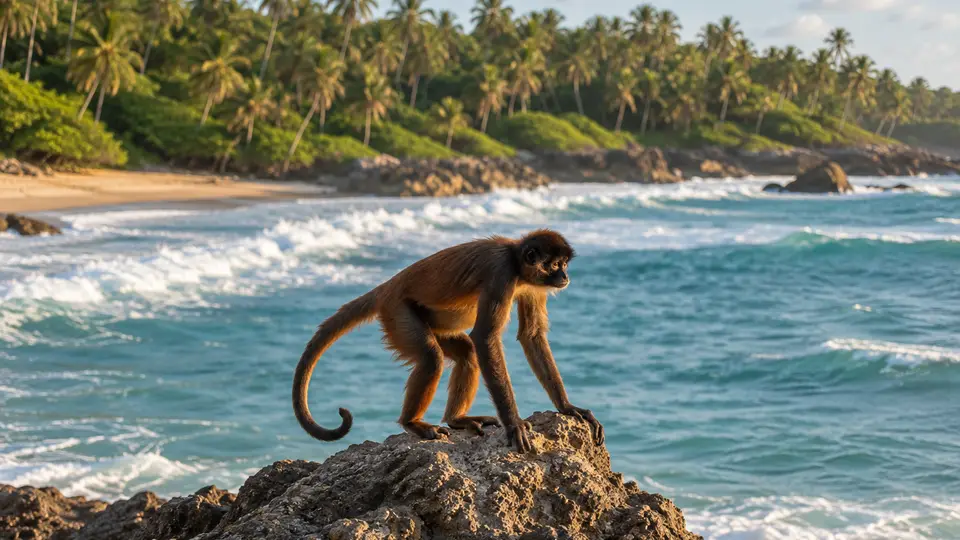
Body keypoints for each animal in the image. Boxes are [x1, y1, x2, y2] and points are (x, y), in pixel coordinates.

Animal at [292, 228, 604, 453]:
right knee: (433, 356)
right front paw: (514, 425)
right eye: (555, 264)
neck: (515, 260)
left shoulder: (532, 285)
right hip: (398, 312)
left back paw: (456, 419)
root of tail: (389, 286)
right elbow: (485, 338)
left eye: (563, 264)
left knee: (466, 353)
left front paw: (567, 407)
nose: (564, 276)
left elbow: (531, 335)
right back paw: (412, 423)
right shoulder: (501, 273)